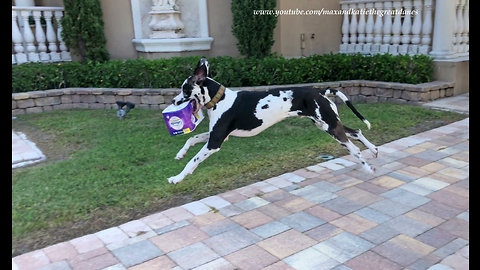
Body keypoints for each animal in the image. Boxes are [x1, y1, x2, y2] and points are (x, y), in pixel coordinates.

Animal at [169, 57, 378, 184]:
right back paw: (374, 150)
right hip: (327, 124)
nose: (173, 101)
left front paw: (177, 177)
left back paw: (368, 168)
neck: (220, 99)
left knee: (354, 148)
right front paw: (180, 154)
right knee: (357, 132)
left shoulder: (215, 142)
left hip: (331, 127)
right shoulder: (218, 136)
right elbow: (191, 138)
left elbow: (193, 161)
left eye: (185, 89)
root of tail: (320, 90)